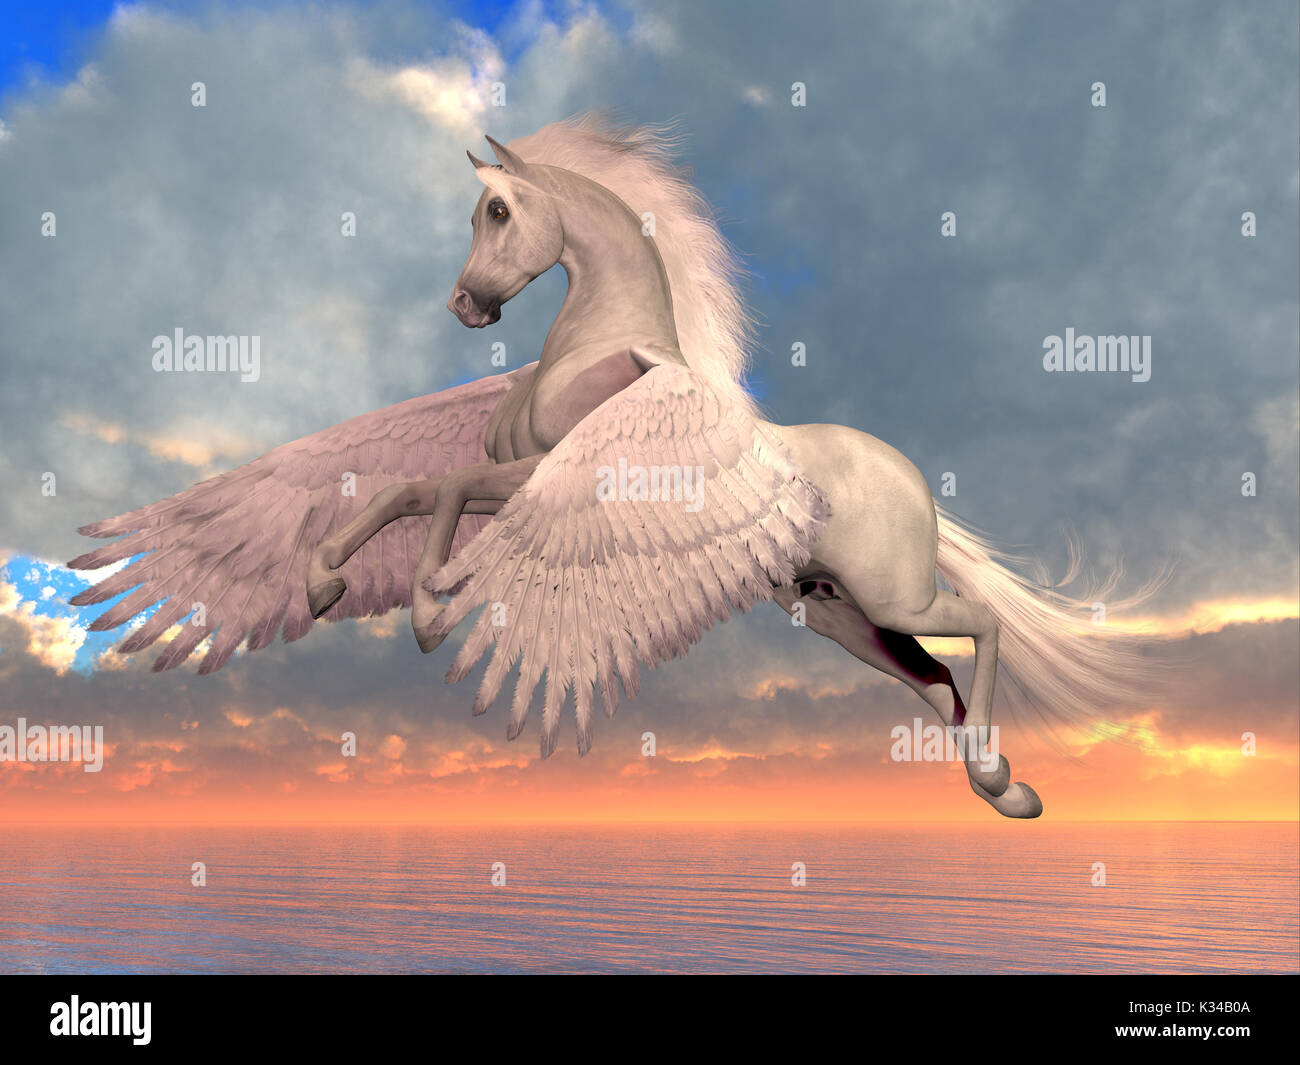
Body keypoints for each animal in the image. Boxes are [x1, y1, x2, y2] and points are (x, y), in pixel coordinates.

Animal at [69, 115, 1154, 819]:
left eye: (499, 210)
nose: (465, 307)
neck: (599, 336)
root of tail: (909, 477)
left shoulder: (542, 478)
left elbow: (466, 505)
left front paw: (435, 608)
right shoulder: (492, 470)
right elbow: (401, 482)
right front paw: (328, 578)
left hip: (894, 596)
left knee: (979, 632)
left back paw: (1003, 782)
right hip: (840, 616)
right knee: (937, 687)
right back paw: (1002, 787)